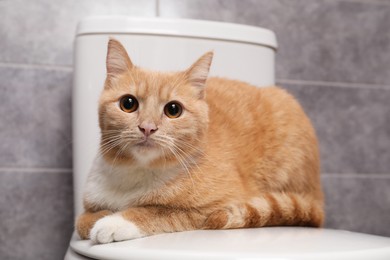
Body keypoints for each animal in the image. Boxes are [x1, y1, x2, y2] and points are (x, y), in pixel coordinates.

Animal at [75, 38, 322, 244]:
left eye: (173, 109)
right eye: (128, 104)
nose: (147, 127)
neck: (137, 171)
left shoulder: (216, 206)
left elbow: (157, 211)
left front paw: (115, 221)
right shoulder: (89, 203)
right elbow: (81, 221)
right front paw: (103, 215)